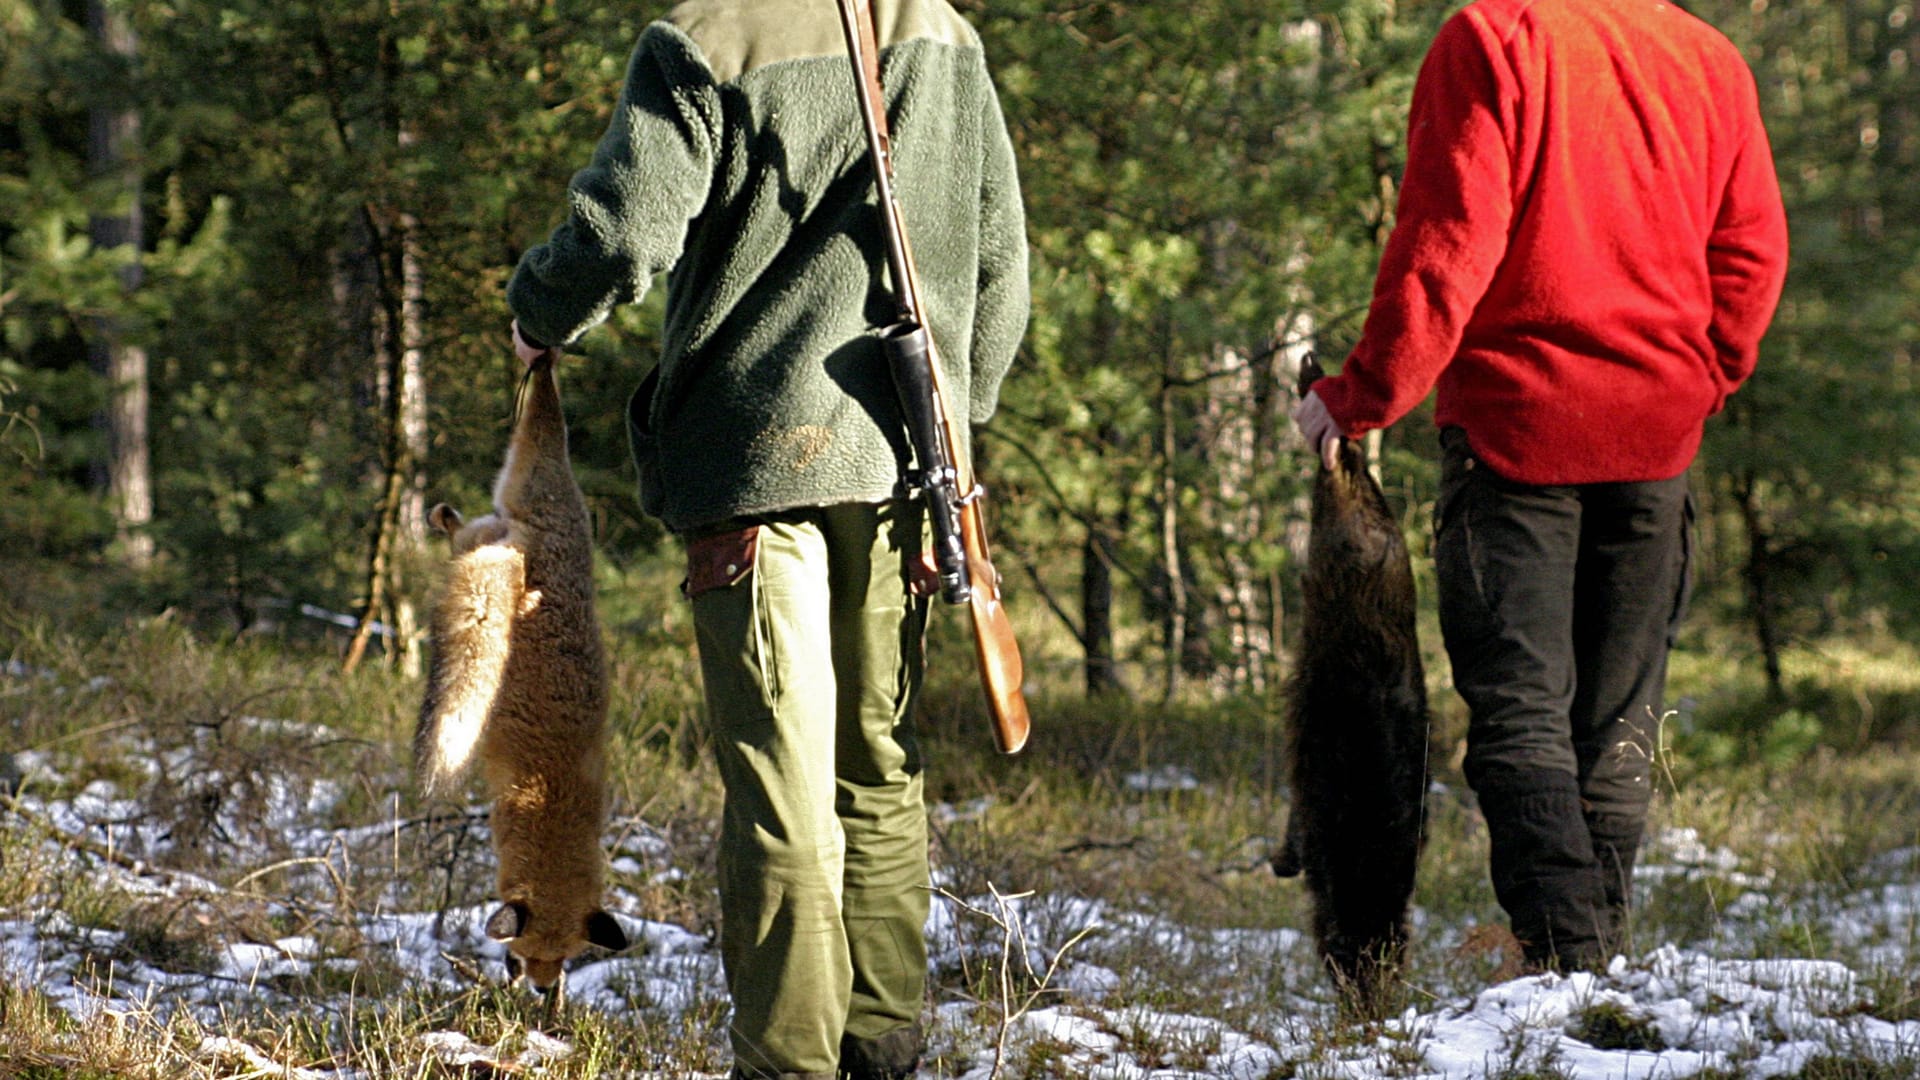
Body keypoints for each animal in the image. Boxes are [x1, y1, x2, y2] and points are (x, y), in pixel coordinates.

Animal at [420, 351, 629, 983]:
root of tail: (531, 557)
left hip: (509, 518)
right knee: (542, 420)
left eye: (563, 959)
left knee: (464, 522)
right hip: (534, 481)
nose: (540, 992)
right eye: (526, 953)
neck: (552, 795)